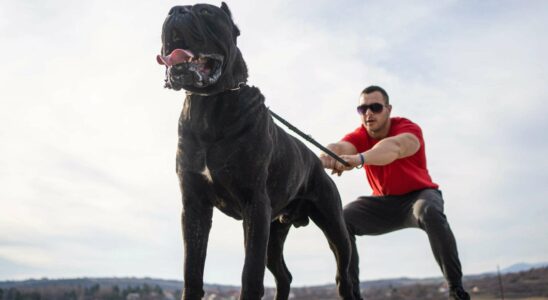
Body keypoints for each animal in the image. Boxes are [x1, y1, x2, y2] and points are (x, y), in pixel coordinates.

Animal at [156, 2, 358, 300]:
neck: (209, 105)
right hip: (274, 233)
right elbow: (192, 269)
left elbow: (250, 272)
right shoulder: (194, 206)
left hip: (334, 226)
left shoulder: (255, 204)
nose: (175, 11)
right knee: (284, 275)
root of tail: (317, 161)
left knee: (344, 276)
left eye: (205, 12)